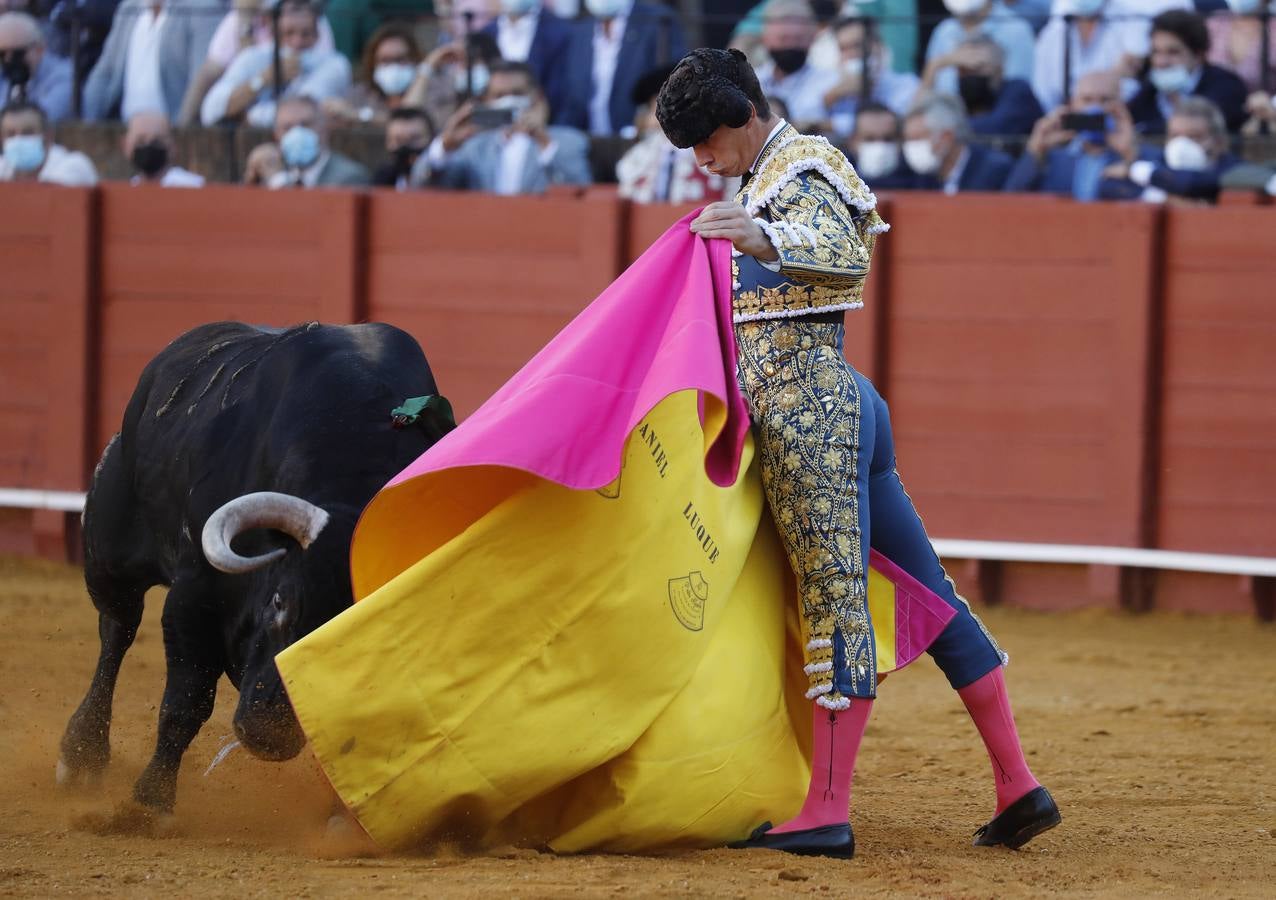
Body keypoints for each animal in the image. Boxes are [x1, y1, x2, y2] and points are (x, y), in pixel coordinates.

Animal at [56, 319, 454, 811]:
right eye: (280, 602)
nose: (268, 733)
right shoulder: (195, 594)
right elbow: (186, 702)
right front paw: (149, 804)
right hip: (110, 554)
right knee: (117, 632)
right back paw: (81, 755)